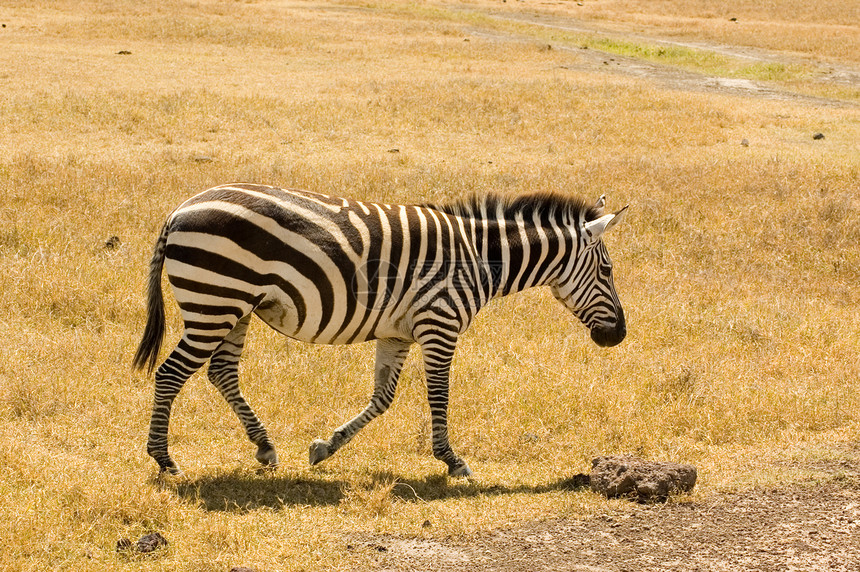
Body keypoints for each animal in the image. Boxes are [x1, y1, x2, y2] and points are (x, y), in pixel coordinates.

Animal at [133, 184, 624, 478]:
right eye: (608, 270)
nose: (618, 336)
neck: (478, 259)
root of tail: (179, 210)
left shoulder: (398, 332)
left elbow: (383, 398)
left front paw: (325, 447)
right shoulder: (439, 323)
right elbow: (439, 394)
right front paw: (452, 460)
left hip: (234, 308)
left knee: (221, 374)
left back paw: (265, 446)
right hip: (215, 301)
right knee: (172, 374)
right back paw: (165, 459)